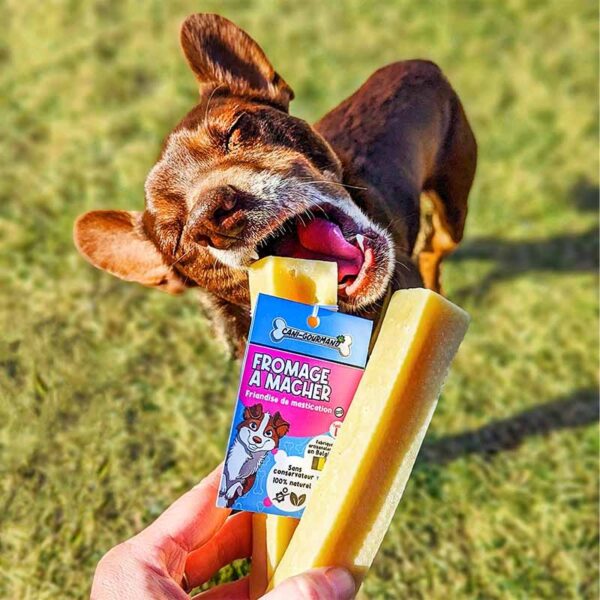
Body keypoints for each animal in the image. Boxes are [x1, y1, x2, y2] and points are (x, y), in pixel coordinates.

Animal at [74, 11, 478, 354]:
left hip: (452, 209)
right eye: (178, 239)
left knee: (433, 248)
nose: (212, 213)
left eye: (237, 129)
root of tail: (421, 63)